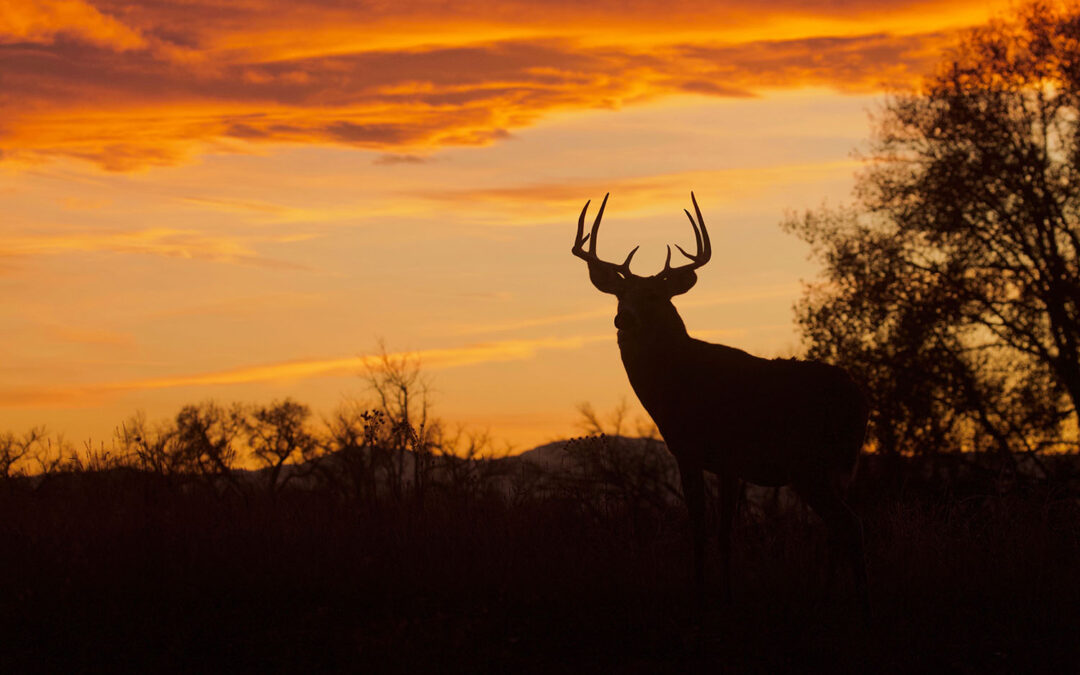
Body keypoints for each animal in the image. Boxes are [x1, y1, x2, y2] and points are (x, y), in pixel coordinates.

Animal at [571, 192, 870, 617]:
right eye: (619, 294)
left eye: (654, 295)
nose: (622, 319)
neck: (678, 387)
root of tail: (859, 400)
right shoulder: (711, 460)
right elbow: (713, 530)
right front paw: (717, 595)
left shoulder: (714, 454)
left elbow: (714, 530)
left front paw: (710, 599)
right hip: (837, 467)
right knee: (836, 529)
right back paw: (829, 599)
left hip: (811, 463)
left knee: (850, 525)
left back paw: (862, 606)